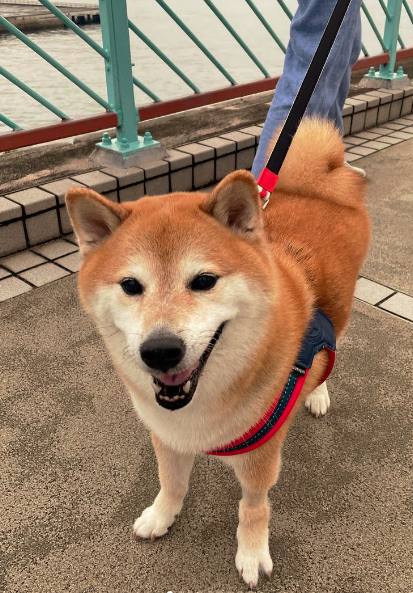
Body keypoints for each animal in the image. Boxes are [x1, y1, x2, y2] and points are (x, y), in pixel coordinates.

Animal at [67, 118, 370, 584]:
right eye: (131, 285)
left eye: (204, 281)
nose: (160, 351)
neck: (200, 407)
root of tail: (315, 183)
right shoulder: (167, 435)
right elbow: (171, 482)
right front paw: (162, 515)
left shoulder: (261, 456)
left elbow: (253, 507)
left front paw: (251, 551)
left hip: (341, 308)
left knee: (329, 355)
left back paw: (316, 392)